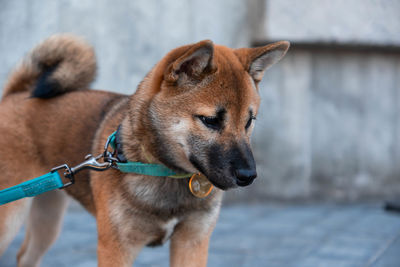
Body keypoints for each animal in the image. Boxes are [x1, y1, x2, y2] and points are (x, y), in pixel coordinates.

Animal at [0, 34, 290, 266]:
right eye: (210, 120)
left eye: (249, 121)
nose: (248, 176)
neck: (161, 171)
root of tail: (16, 95)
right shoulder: (116, 248)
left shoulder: (192, 241)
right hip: (10, 218)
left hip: (47, 218)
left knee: (25, 257)